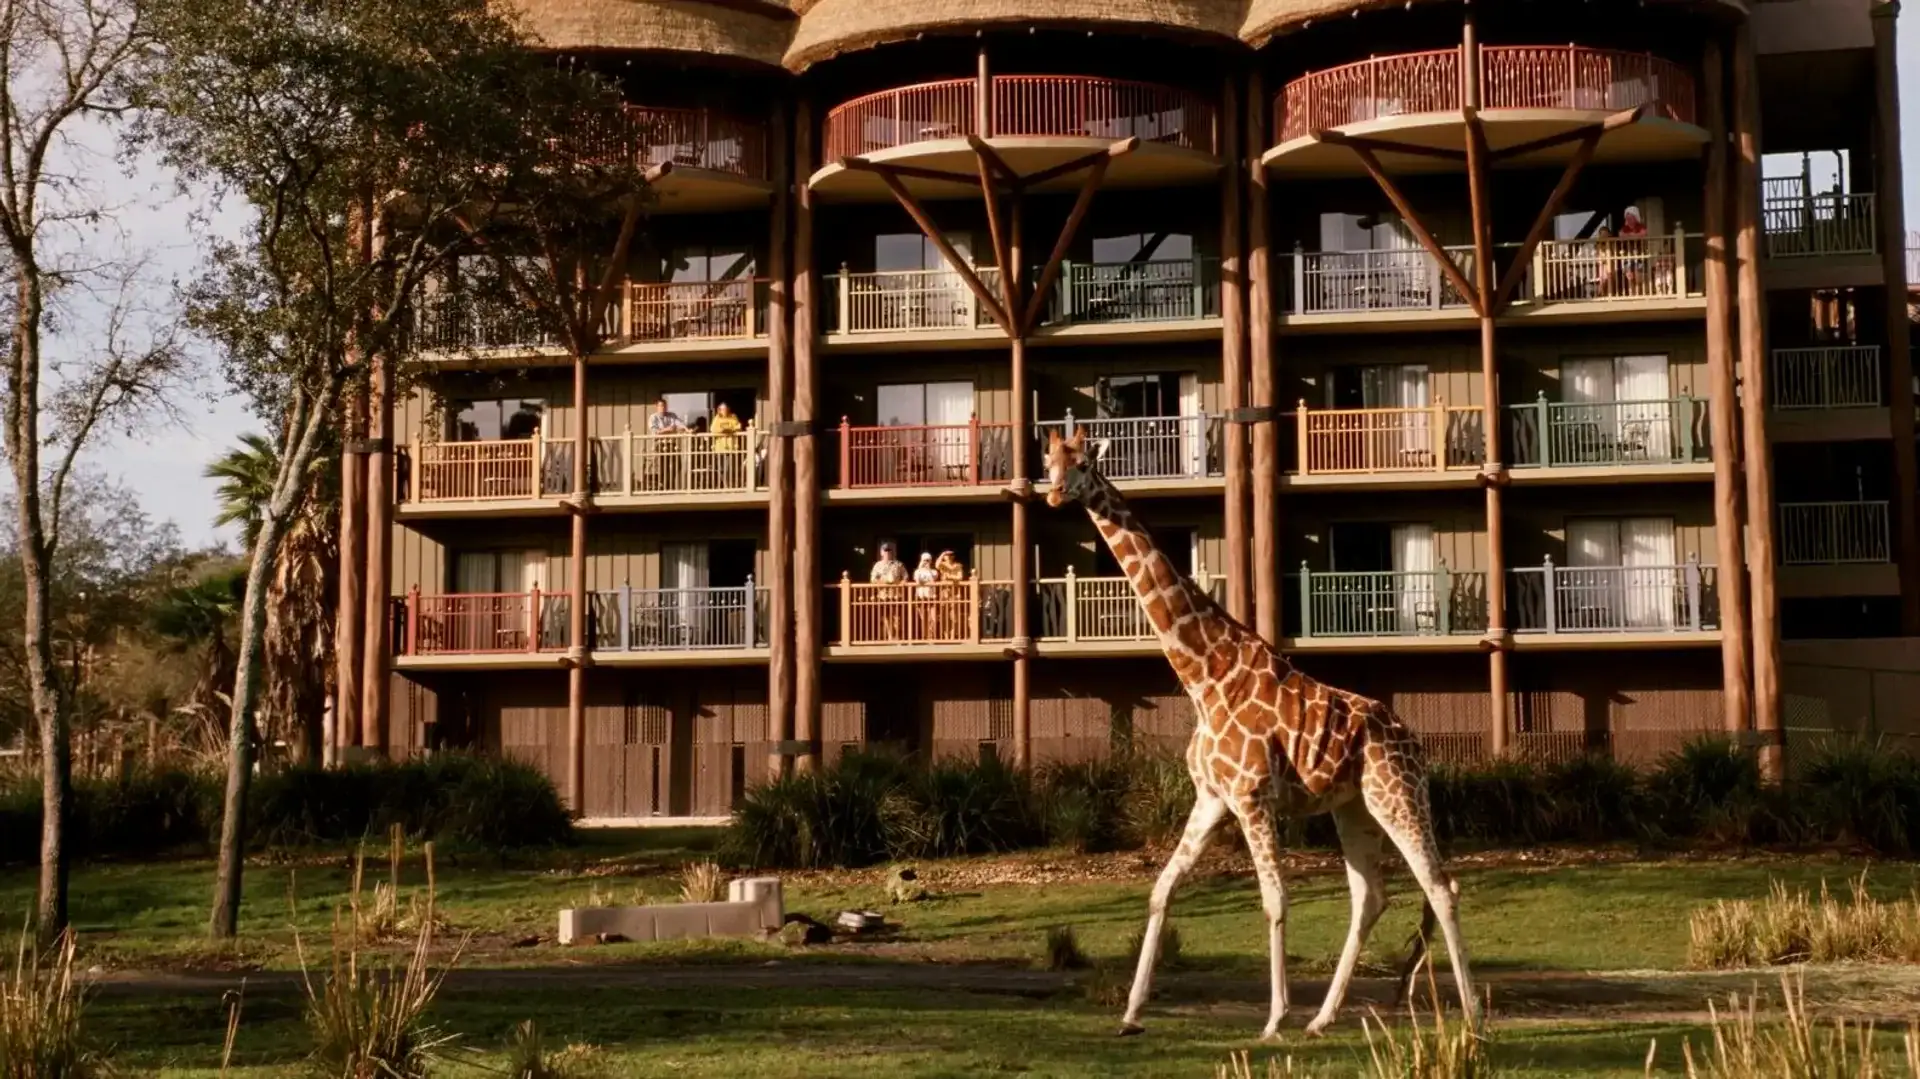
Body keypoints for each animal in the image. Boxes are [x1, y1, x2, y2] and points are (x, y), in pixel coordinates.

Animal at [1041, 429, 1477, 1039]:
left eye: (1082, 464)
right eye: (1048, 461)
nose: (1055, 495)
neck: (1203, 676)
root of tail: (1416, 745)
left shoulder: (1251, 796)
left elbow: (1274, 899)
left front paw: (1273, 1018)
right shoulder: (1211, 797)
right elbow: (1161, 889)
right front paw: (1130, 1013)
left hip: (1397, 794)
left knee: (1441, 886)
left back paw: (1473, 1013)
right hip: (1354, 807)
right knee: (1370, 895)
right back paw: (1322, 1018)